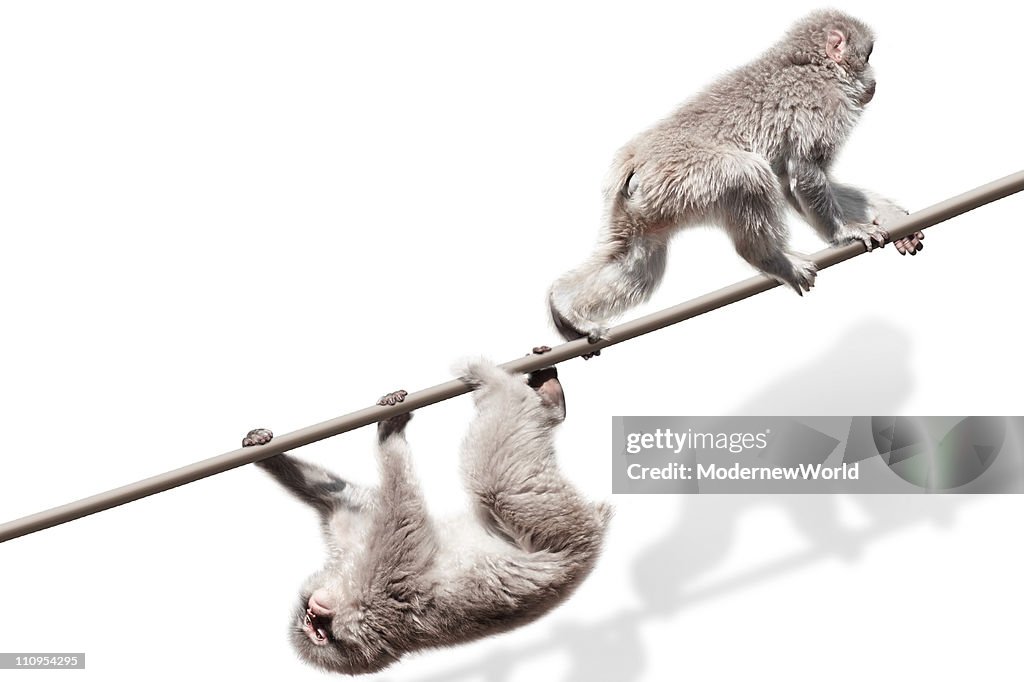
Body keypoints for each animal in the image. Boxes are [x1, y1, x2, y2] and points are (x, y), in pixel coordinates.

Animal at [242, 357, 610, 675]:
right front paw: (389, 433)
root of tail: (592, 539)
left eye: (310, 617)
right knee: (498, 482)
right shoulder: (378, 589)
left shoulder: (355, 559)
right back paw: (504, 387)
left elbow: (345, 499)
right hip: (560, 527)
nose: (312, 608)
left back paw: (545, 399)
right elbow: (404, 517)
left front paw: (262, 446)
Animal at [548, 10, 925, 345]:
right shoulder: (823, 105)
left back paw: (566, 310)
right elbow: (804, 172)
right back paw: (769, 259)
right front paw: (843, 233)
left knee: (637, 263)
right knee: (747, 172)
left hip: (648, 204)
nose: (876, 80)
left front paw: (889, 216)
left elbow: (790, 184)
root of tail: (633, 160)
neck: (815, 66)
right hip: (685, 174)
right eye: (868, 55)